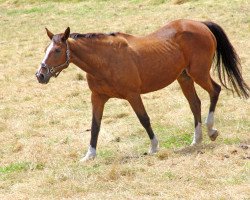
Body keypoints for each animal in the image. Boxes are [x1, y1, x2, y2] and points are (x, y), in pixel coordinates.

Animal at [35, 19, 250, 162]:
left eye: (57, 50)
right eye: (46, 49)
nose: (40, 75)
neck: (104, 59)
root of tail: (200, 24)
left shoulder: (133, 95)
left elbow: (144, 119)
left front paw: (154, 147)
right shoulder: (97, 97)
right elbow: (95, 126)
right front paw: (89, 155)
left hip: (199, 73)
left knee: (215, 91)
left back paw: (211, 130)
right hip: (184, 77)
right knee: (194, 103)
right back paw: (196, 140)